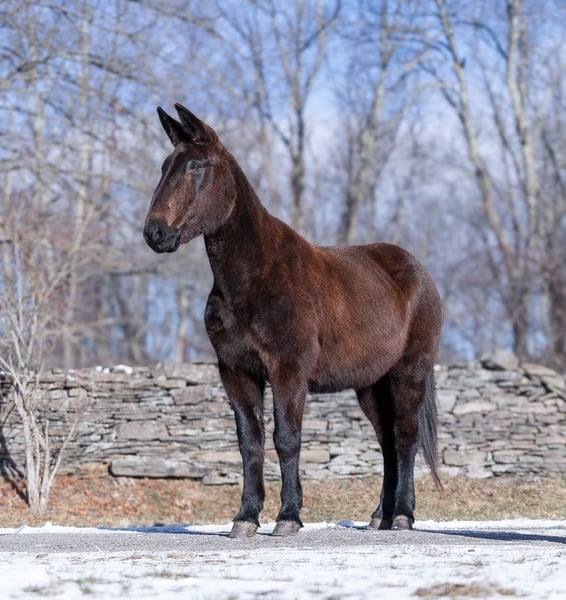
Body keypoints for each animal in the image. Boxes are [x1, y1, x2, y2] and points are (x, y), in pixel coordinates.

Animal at [143, 104, 442, 538]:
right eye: (166, 166)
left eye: (196, 166)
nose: (155, 233)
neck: (254, 277)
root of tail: (420, 273)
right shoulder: (236, 372)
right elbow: (249, 442)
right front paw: (246, 518)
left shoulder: (288, 370)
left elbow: (286, 437)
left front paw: (288, 517)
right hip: (371, 385)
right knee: (387, 441)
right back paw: (379, 517)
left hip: (409, 373)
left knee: (405, 437)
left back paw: (402, 516)